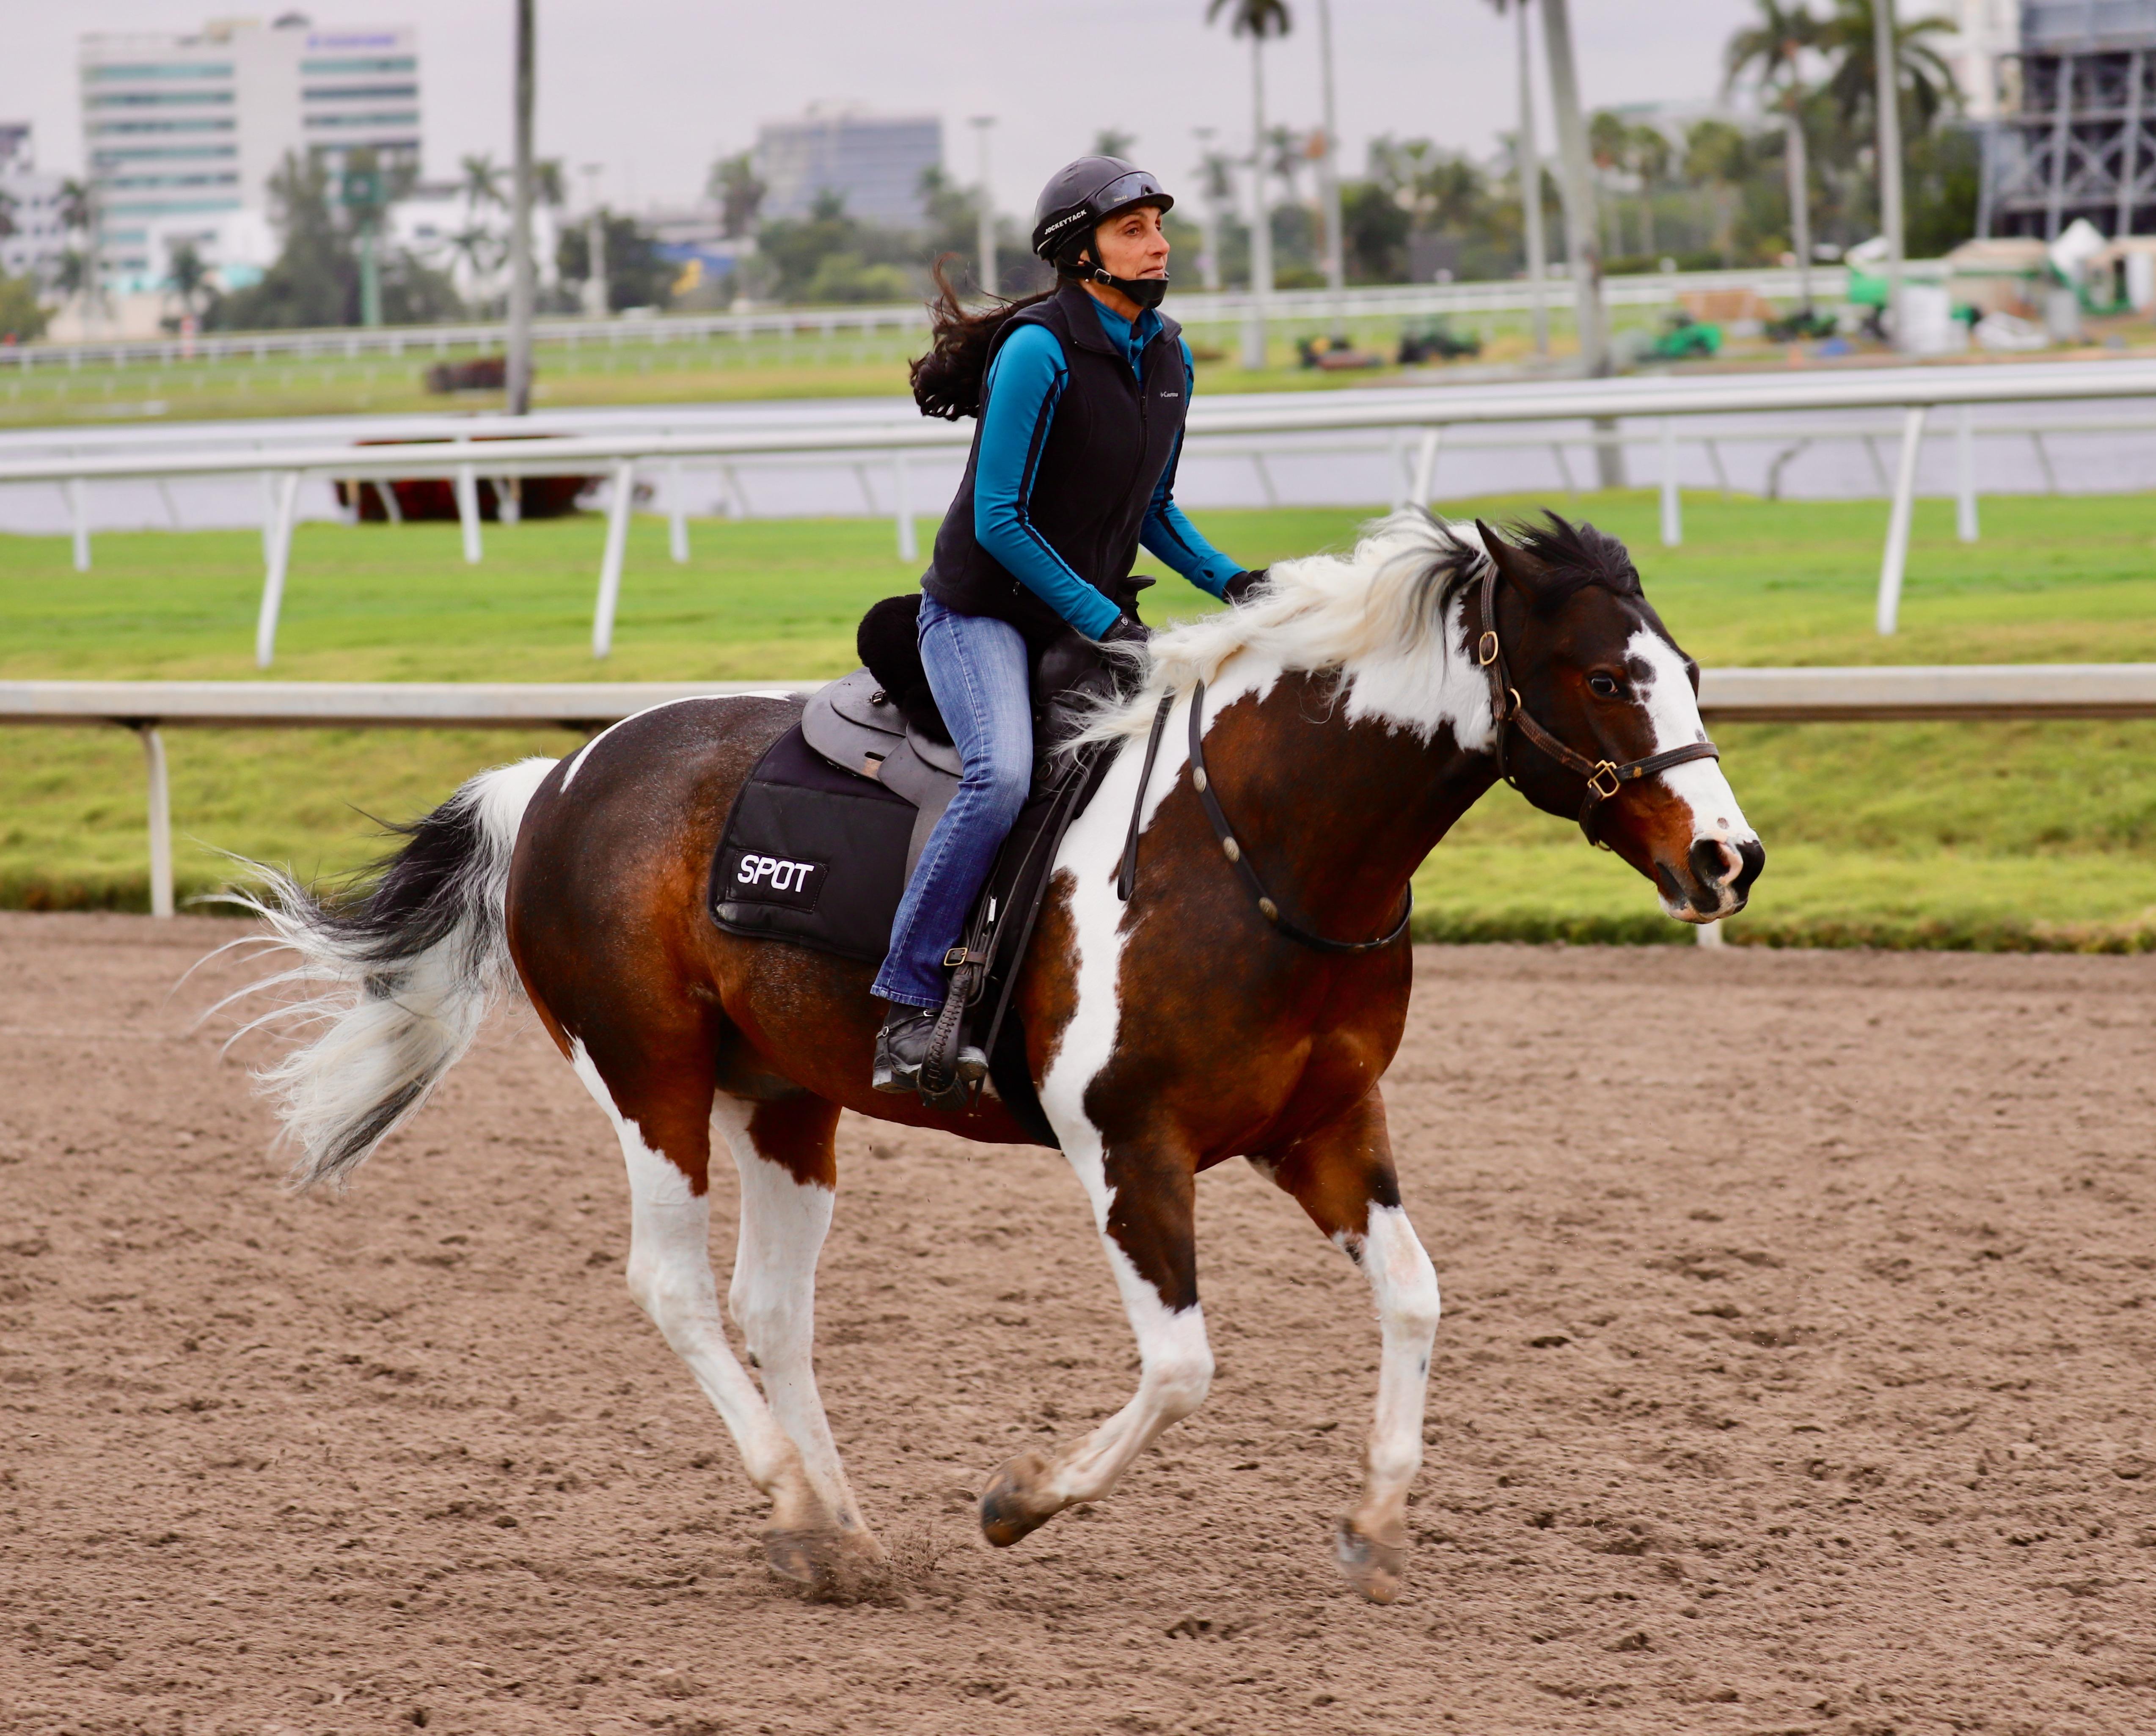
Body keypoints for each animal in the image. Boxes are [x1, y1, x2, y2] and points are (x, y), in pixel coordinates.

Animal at [227, 509, 1759, 1604]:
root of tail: (548, 779)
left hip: (785, 1102)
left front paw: (1376, 1520)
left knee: (770, 1306)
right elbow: (1183, 1363)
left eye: (1687, 672)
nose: (1726, 857)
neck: (1250, 844)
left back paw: (840, 1529)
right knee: (671, 1285)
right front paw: (1018, 1501)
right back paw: (800, 1509)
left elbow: (1417, 1297)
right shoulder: (1128, 1152)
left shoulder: (1323, 1131)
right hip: (649, 1078)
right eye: (1608, 676)